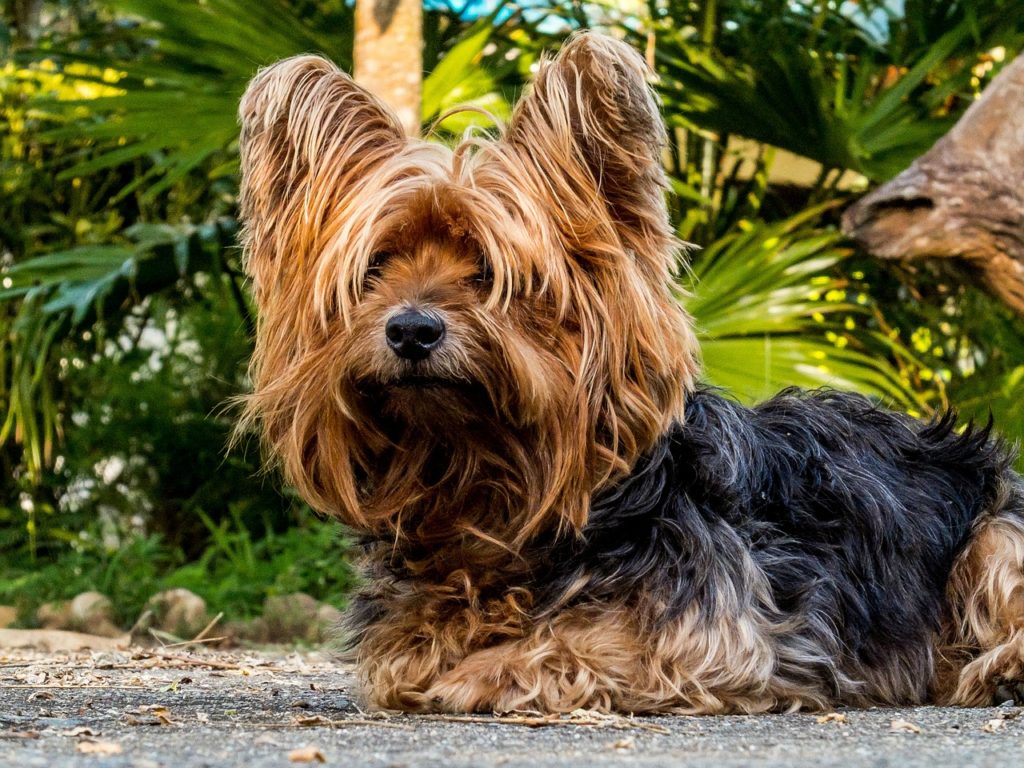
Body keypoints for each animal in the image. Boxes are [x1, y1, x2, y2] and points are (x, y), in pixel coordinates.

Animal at [235, 31, 1024, 716]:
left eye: (490, 271)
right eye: (378, 268)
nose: (410, 328)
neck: (487, 484)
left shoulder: (712, 633)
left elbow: (586, 643)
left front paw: (488, 671)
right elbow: (404, 662)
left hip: (995, 532)